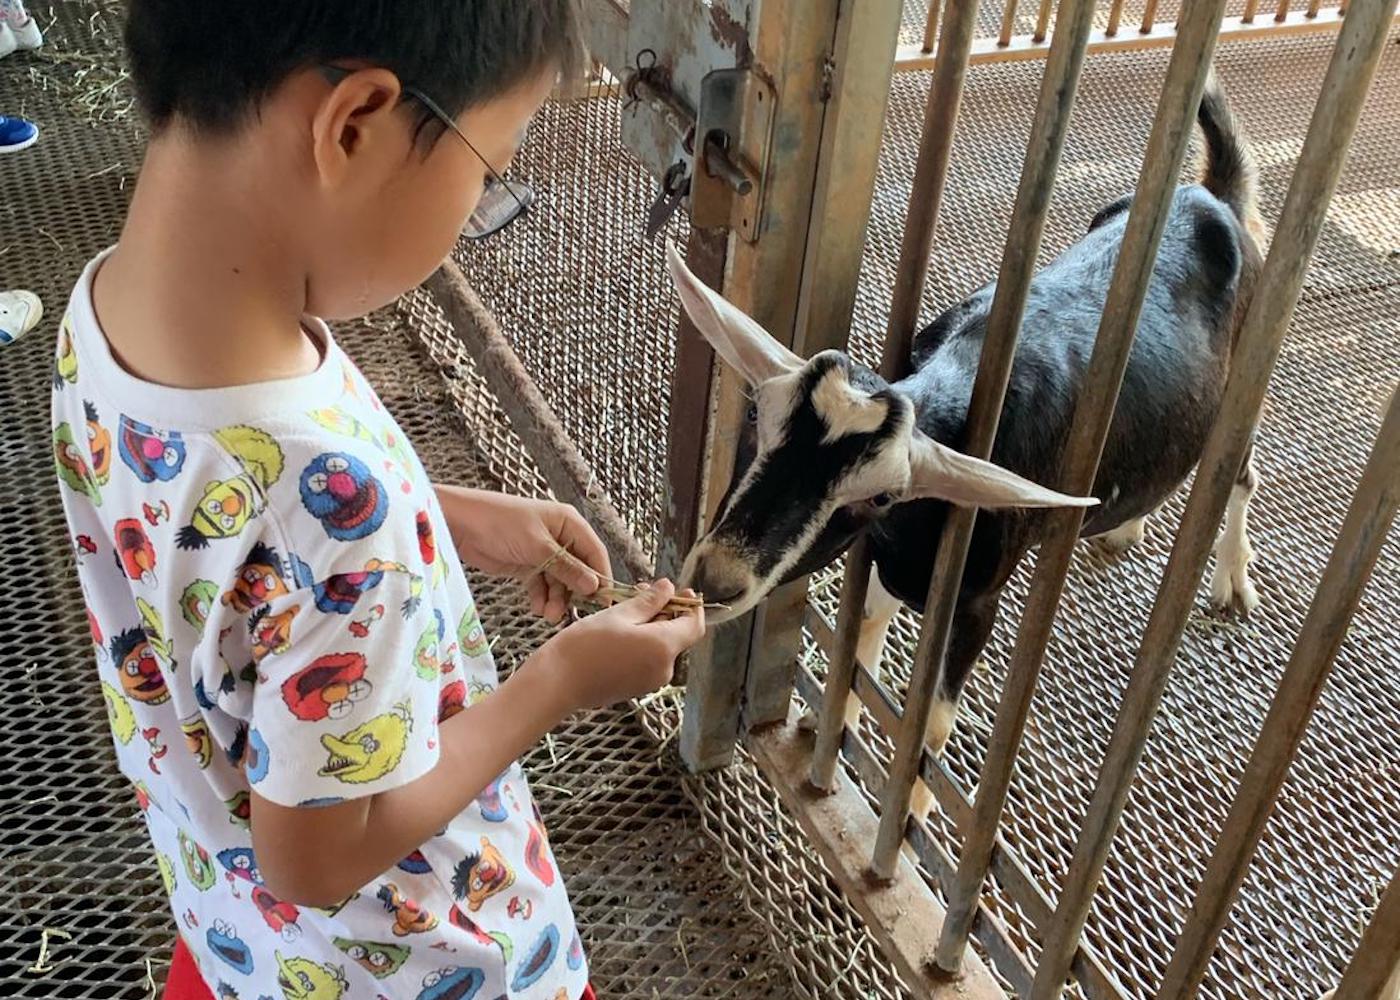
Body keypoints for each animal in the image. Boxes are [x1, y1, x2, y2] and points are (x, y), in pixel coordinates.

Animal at [672, 77, 1265, 817]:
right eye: (756, 413)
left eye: (879, 497)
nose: (716, 580)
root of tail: (1214, 198)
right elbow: (861, 639)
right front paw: (827, 726)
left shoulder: (975, 597)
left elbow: (931, 721)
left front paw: (913, 811)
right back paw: (1126, 526)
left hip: (1242, 391)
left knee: (1238, 472)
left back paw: (1232, 579)